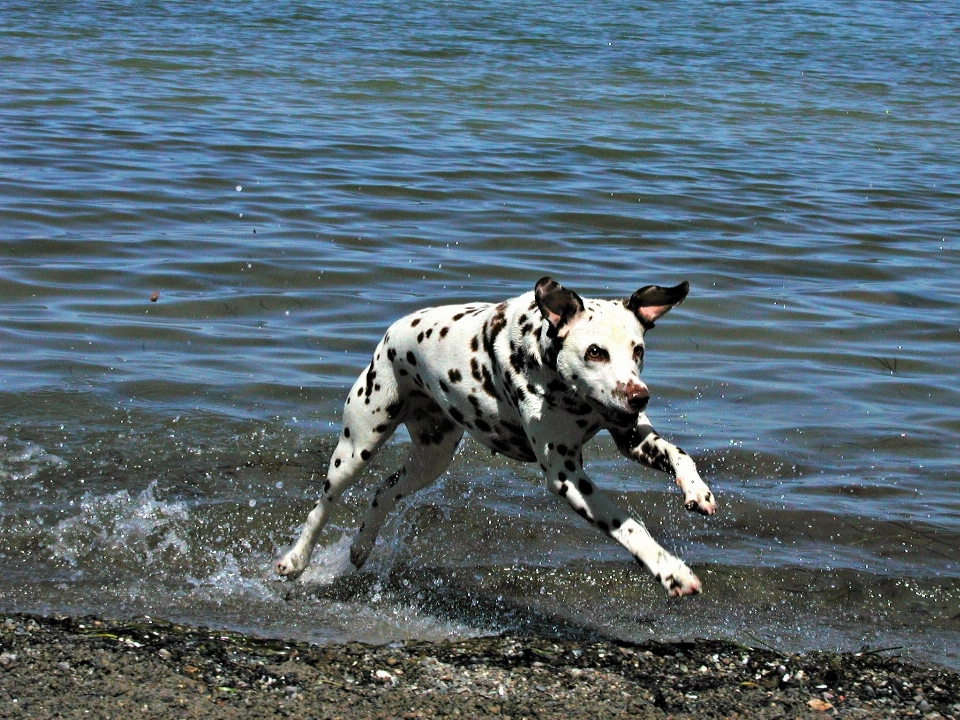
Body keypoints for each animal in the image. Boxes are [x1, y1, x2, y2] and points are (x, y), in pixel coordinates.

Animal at [274, 276, 716, 596]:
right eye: (595, 352)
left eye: (638, 349)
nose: (639, 396)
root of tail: (392, 332)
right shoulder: (566, 476)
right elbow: (629, 527)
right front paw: (671, 570)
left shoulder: (630, 435)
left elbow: (679, 455)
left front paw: (697, 491)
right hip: (356, 447)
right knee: (322, 506)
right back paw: (294, 560)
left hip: (431, 459)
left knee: (385, 490)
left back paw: (361, 547)